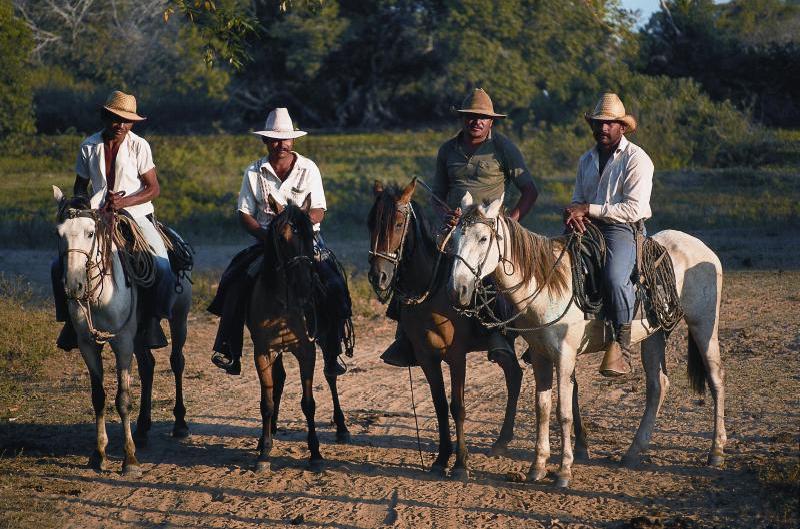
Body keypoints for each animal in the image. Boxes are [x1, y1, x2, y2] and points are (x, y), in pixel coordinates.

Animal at [52, 186, 192, 474]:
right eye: (59, 234)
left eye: (90, 232)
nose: (73, 286)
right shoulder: (88, 344)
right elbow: (98, 396)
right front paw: (98, 453)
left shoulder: (123, 343)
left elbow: (123, 399)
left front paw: (129, 459)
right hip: (140, 334)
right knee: (148, 366)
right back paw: (143, 428)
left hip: (179, 318)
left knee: (177, 361)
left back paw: (180, 424)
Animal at [244, 193, 346, 470]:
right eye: (280, 238)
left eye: (310, 235)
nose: (304, 286)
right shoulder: (263, 352)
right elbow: (266, 402)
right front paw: (264, 451)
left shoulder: (306, 350)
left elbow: (308, 403)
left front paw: (316, 453)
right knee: (278, 381)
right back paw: (268, 434)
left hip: (327, 341)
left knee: (330, 375)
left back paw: (342, 427)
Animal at [368, 177, 524, 478]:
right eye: (370, 222)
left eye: (398, 223)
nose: (378, 275)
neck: (432, 289)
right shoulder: (426, 357)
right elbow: (440, 405)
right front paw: (441, 459)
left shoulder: (456, 355)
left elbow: (457, 406)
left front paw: (461, 464)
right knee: (514, 375)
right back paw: (502, 441)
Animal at [446, 194, 728, 486]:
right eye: (454, 237)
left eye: (483, 238)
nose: (458, 290)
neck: (548, 284)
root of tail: (702, 248)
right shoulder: (540, 355)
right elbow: (542, 408)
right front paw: (537, 466)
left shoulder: (564, 355)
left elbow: (563, 412)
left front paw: (564, 471)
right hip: (655, 335)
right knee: (657, 386)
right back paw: (633, 452)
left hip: (704, 324)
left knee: (716, 378)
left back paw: (716, 451)